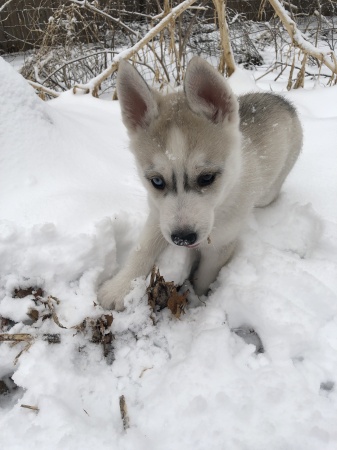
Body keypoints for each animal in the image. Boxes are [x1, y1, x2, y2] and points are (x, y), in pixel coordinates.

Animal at [98, 55, 302, 310]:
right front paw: (120, 287)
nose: (182, 238)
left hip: (270, 189)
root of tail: (281, 100)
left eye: (207, 178)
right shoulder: (159, 215)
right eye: (157, 181)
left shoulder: (220, 247)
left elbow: (204, 278)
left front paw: (198, 302)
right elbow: (142, 248)